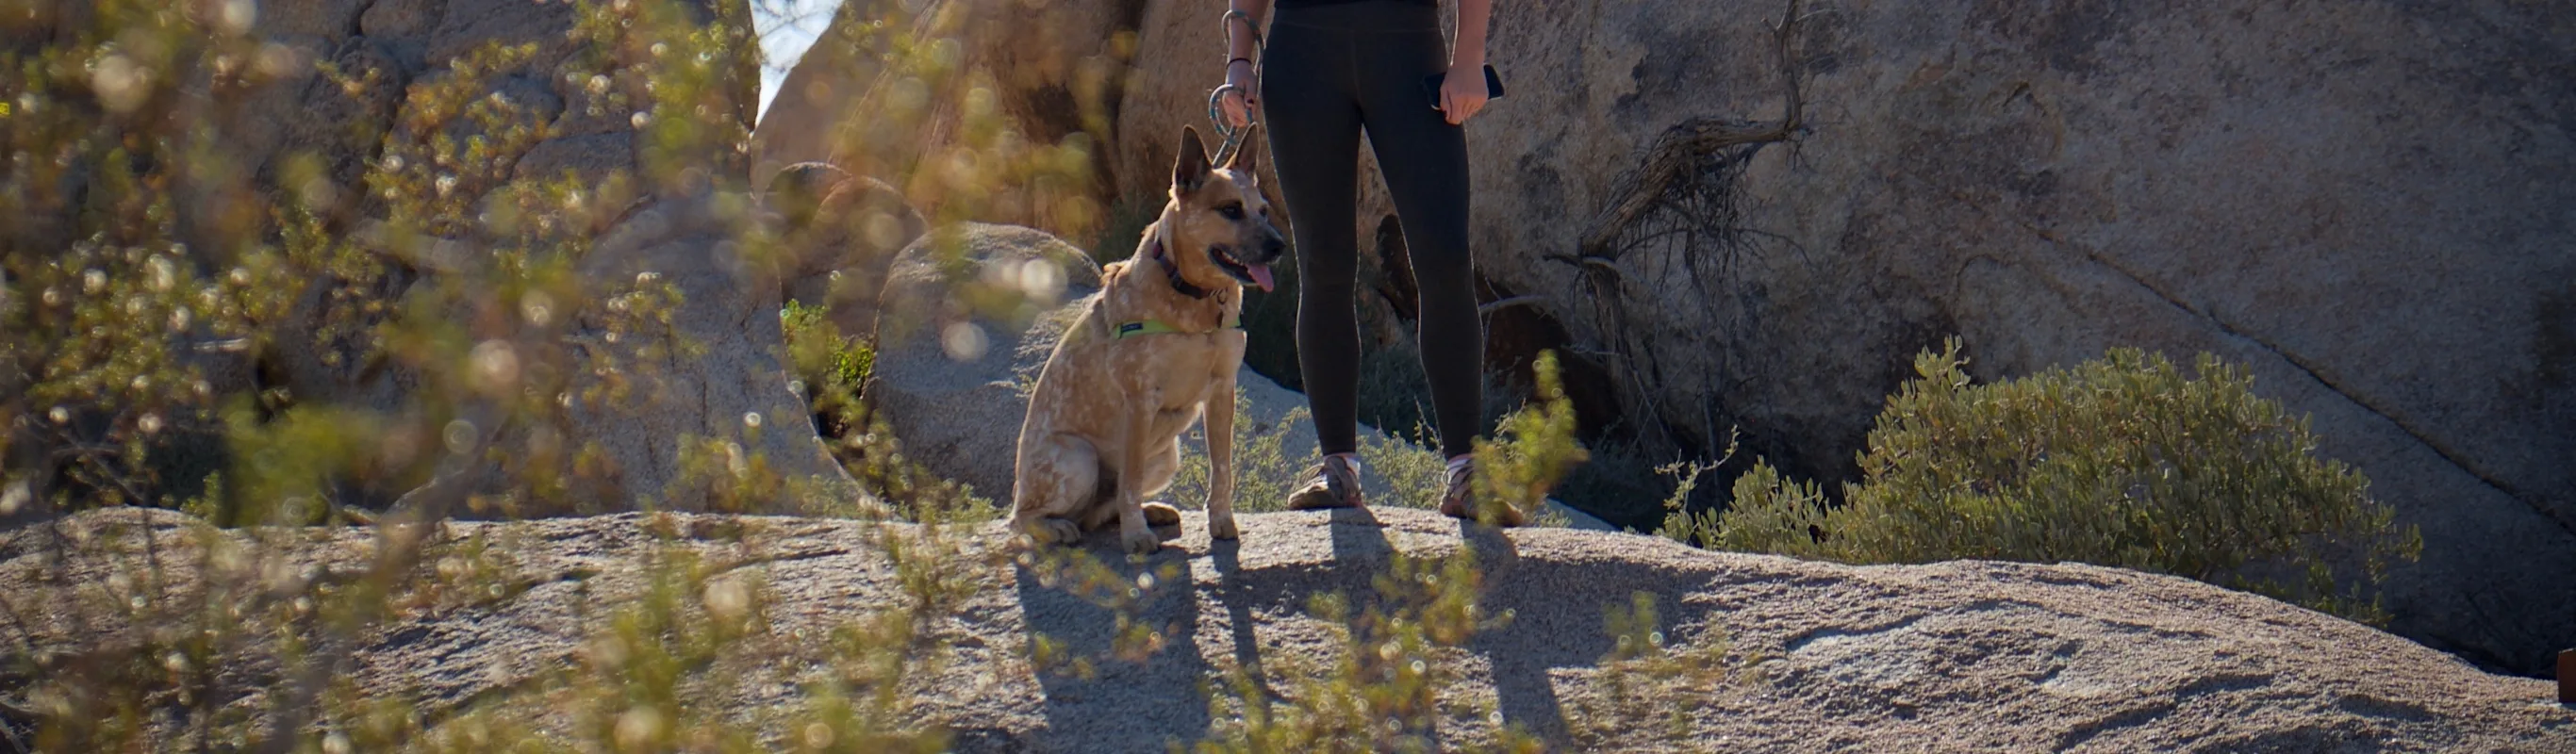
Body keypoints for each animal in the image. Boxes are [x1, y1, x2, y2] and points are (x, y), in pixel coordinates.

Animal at [1004, 125, 1288, 550]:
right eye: (1230, 209)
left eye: (1264, 210)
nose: (1279, 246)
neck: (1193, 295)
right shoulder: (1140, 400)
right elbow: (1132, 480)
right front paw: (1136, 536)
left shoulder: (1222, 391)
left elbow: (1222, 468)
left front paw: (1222, 521)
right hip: (1078, 459)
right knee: (1026, 517)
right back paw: (1059, 527)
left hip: (1168, 455)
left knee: (1101, 510)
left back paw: (1149, 512)